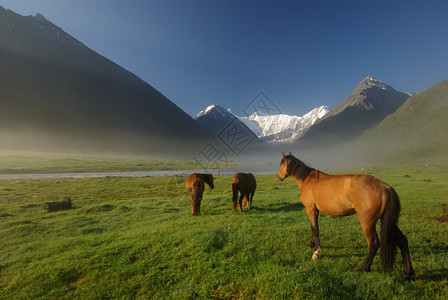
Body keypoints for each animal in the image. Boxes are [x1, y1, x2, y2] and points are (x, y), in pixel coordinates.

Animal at [278, 154, 414, 280]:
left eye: (282, 163)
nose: (279, 177)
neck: (307, 179)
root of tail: (385, 187)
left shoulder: (310, 209)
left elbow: (315, 229)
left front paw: (316, 252)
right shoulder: (315, 211)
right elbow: (314, 228)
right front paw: (312, 245)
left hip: (367, 222)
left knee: (374, 243)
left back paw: (363, 268)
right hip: (385, 219)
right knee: (402, 241)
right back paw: (407, 273)